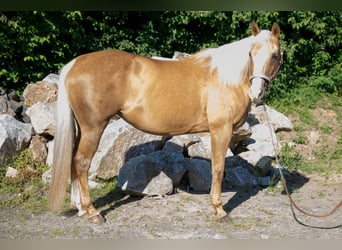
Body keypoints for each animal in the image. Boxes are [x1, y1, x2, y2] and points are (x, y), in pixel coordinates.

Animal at [48, 22, 284, 224]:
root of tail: (75, 64)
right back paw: (91, 211)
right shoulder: (221, 130)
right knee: (81, 162)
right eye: (251, 54)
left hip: (82, 128)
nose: (256, 94)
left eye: (274, 55)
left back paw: (80, 209)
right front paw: (219, 210)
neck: (226, 78)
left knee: (74, 160)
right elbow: (218, 168)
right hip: (93, 128)